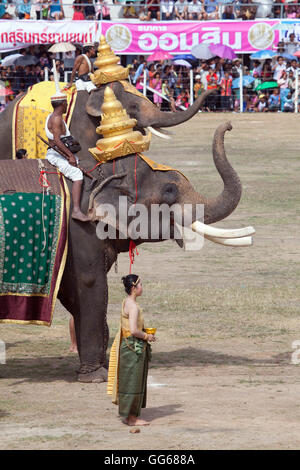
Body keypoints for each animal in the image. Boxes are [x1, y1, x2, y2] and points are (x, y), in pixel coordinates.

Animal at [0, 121, 253, 382]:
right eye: (170, 190)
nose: (229, 125)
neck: (97, 171)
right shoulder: (80, 230)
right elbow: (90, 287)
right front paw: (97, 376)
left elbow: (74, 297)